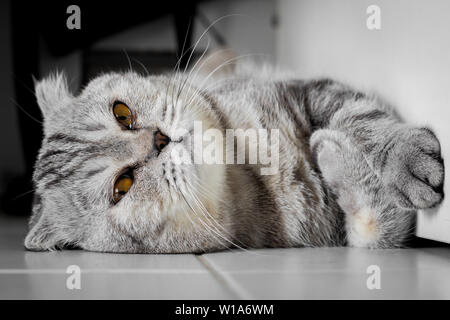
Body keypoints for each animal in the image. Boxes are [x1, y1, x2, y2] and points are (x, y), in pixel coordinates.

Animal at [23, 61, 442, 252]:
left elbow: (363, 119)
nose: (159, 139)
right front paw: (331, 151)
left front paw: (402, 155)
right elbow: (374, 229)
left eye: (121, 113)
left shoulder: (306, 90)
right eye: (121, 186)